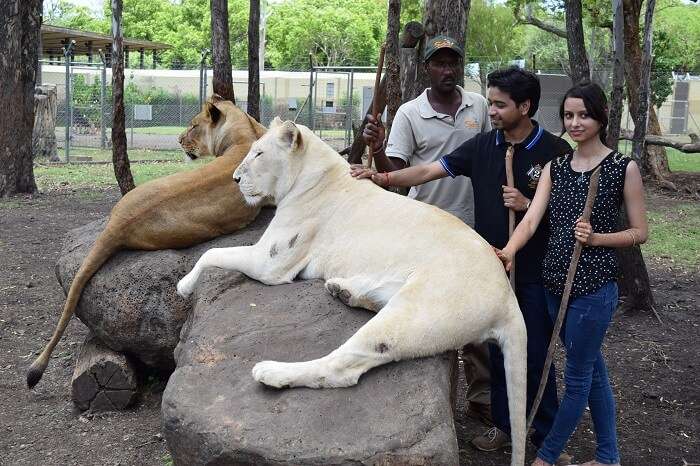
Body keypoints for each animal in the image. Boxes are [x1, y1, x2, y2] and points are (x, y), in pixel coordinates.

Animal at [178, 117, 528, 466]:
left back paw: (273, 372)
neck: (311, 172)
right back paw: (343, 290)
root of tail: (508, 296)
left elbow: (211, 252)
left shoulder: (272, 262)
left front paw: (184, 285)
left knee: (340, 368)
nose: (235, 179)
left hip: (417, 308)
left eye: (259, 153)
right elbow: (213, 253)